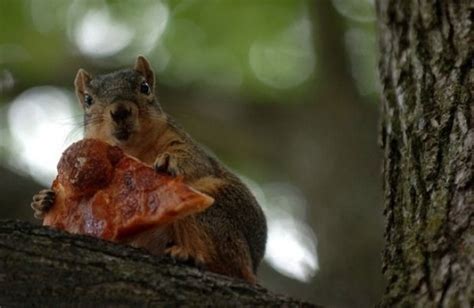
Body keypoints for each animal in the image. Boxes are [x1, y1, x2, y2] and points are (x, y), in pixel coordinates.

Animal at [30, 56, 266, 284]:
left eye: (144, 87)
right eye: (88, 99)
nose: (120, 110)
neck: (135, 149)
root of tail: (252, 266)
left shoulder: (183, 142)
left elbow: (196, 162)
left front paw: (170, 161)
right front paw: (43, 200)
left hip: (217, 217)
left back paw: (189, 255)